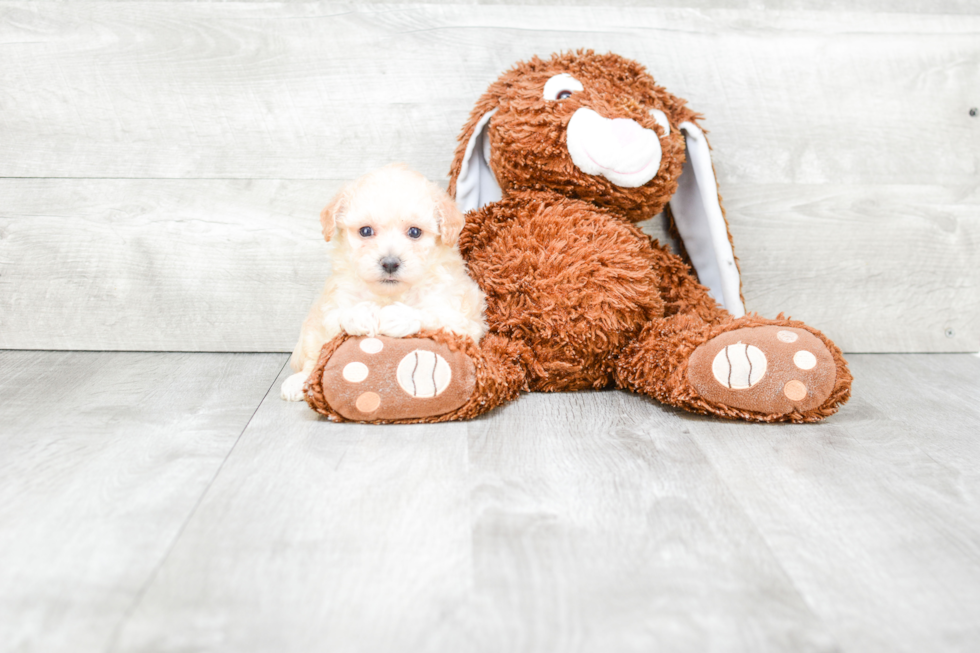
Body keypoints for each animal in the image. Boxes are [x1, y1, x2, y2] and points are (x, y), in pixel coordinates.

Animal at [280, 163, 486, 400]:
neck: (389, 294)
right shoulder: (334, 302)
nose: (389, 263)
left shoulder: (460, 316)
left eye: (414, 232)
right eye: (366, 231)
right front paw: (362, 314)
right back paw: (298, 382)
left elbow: (433, 315)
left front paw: (395, 316)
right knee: (313, 355)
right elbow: (338, 317)